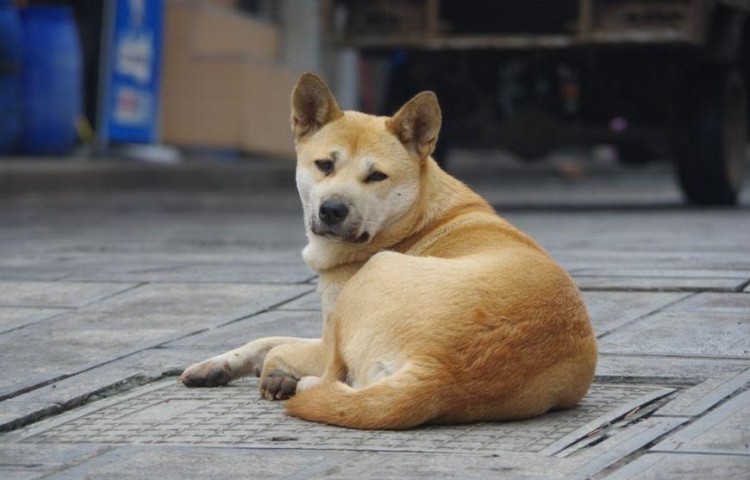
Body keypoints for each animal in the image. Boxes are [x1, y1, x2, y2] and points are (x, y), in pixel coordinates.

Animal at [182, 72, 600, 432]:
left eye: (376, 176)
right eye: (324, 165)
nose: (332, 210)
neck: (415, 217)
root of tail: (438, 370)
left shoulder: (329, 333)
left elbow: (274, 345)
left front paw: (274, 376)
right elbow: (262, 339)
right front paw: (214, 366)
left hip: (375, 276)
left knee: (329, 374)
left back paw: (293, 383)